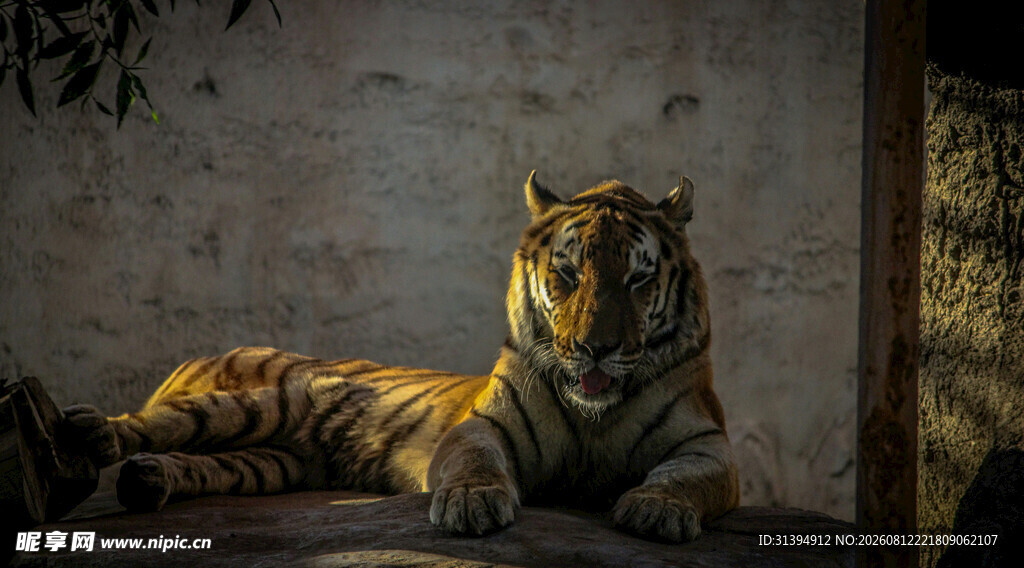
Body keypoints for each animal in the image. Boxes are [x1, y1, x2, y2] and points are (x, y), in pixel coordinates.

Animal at [63, 171, 740, 542]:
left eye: (637, 280)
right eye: (568, 274)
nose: (595, 348)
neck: (594, 415)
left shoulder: (708, 445)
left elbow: (686, 477)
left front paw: (657, 509)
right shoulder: (483, 427)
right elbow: (473, 460)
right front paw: (471, 504)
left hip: (271, 462)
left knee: (195, 462)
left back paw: (146, 481)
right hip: (260, 403)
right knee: (154, 424)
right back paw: (90, 433)